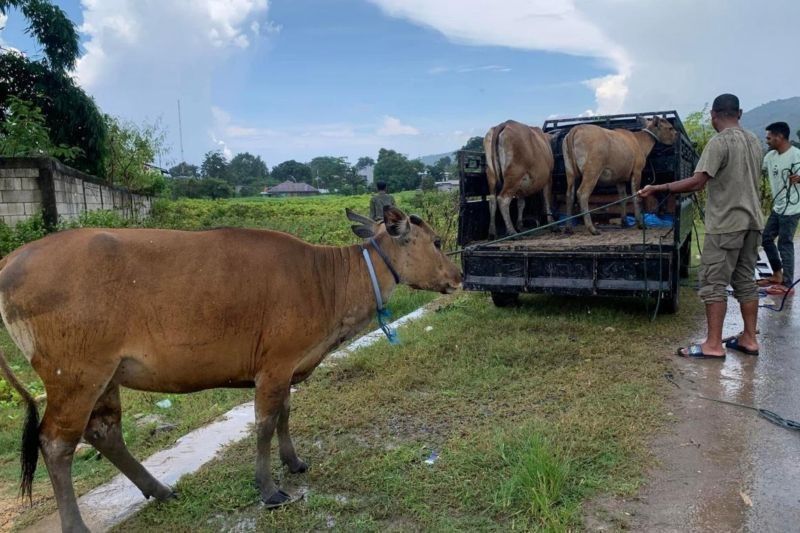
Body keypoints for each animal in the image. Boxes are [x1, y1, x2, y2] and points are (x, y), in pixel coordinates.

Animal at [0, 208, 462, 532]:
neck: (326, 281)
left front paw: (294, 461)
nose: (459, 275)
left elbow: (285, 415)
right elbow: (264, 424)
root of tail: (12, 259)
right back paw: (78, 523)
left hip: (105, 375)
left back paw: (159, 491)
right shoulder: (274, 366)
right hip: (75, 374)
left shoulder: (286, 365)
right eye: (438, 241)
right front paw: (269, 489)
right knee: (56, 443)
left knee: (105, 431)